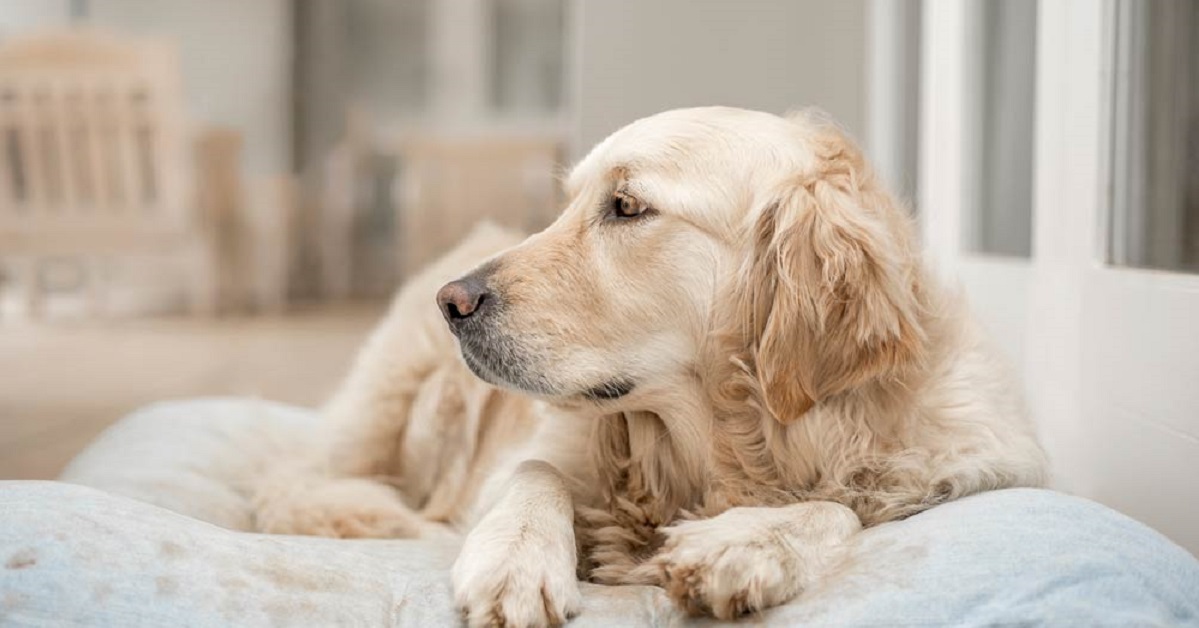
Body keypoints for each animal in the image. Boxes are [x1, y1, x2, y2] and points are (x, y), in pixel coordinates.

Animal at [255, 106, 1050, 623]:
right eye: (566, 203)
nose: (452, 302)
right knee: (296, 487)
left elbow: (839, 506)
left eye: (627, 206)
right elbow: (534, 472)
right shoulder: (536, 450)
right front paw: (514, 561)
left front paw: (744, 543)